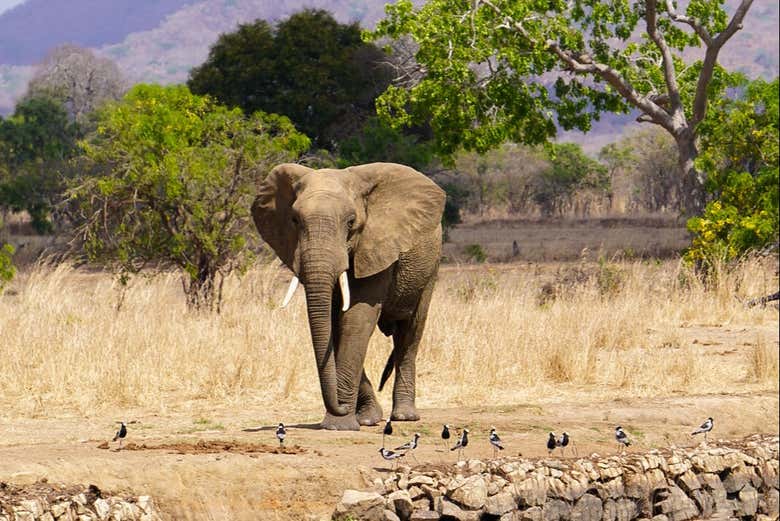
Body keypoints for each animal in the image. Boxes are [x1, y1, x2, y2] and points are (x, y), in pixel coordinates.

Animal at [251, 162, 445, 430]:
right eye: (294, 220)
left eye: (351, 222)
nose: (341, 407)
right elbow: (335, 324)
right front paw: (362, 419)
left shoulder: (376, 245)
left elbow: (356, 319)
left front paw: (338, 425)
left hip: (430, 267)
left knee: (411, 332)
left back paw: (404, 416)